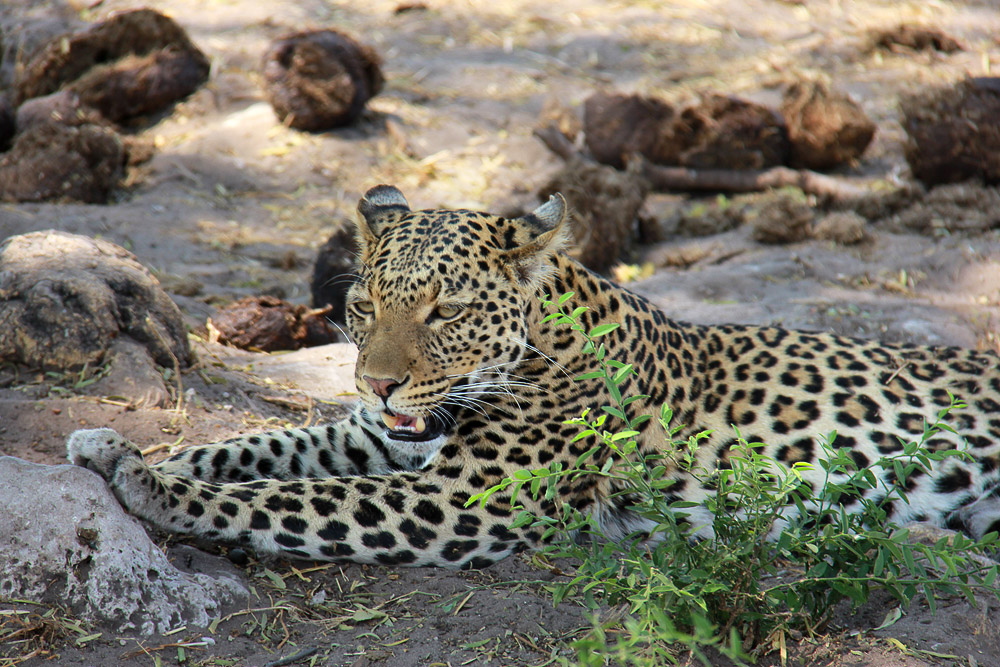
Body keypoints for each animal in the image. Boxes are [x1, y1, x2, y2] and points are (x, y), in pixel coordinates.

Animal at [66, 183, 1000, 568]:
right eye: (364, 306)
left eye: (445, 311)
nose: (377, 383)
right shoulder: (382, 440)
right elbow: (259, 448)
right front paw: (112, 446)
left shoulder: (458, 500)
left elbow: (279, 497)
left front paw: (149, 483)